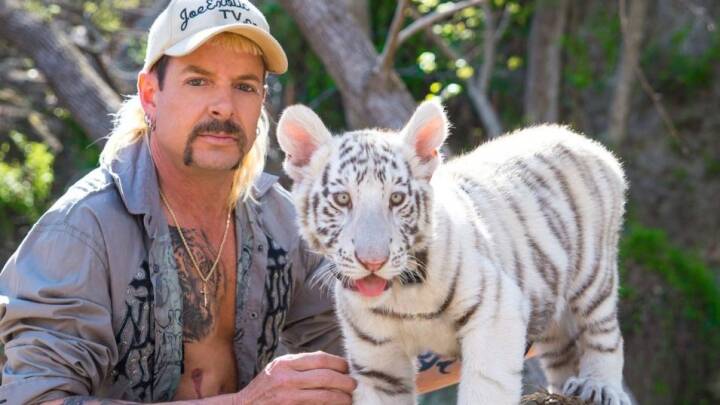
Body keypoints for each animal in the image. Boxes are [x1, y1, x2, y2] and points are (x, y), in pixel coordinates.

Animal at [276, 100, 631, 405]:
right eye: (343, 199)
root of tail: (577, 136)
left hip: (593, 274)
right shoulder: (377, 360)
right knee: (562, 351)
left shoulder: (496, 313)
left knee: (604, 333)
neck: (403, 296)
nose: (372, 261)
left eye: (396, 199)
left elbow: (485, 389)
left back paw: (599, 386)